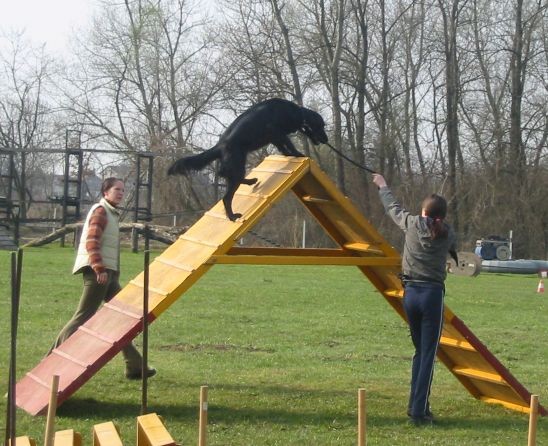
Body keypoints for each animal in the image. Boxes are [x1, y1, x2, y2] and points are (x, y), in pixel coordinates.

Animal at [167, 99, 328, 221]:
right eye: (321, 126)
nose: (326, 140)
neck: (296, 112)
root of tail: (219, 147)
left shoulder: (274, 137)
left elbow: (283, 147)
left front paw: (289, 155)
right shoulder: (275, 130)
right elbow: (288, 144)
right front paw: (297, 153)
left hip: (237, 166)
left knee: (228, 177)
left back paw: (252, 181)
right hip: (237, 166)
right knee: (227, 197)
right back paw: (232, 216)